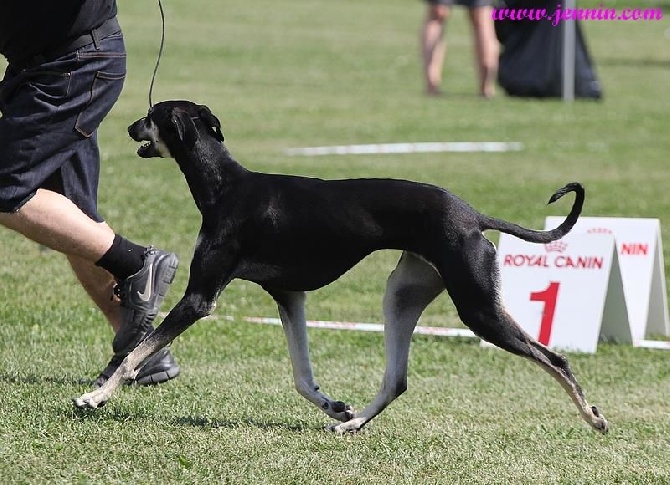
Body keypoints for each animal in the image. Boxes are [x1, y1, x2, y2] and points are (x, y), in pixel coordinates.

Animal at [75, 100, 608, 432]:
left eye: (151, 116)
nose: (128, 127)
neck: (227, 187)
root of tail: (473, 216)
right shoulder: (289, 296)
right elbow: (301, 374)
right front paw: (334, 406)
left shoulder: (200, 298)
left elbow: (136, 354)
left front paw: (94, 398)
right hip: (401, 295)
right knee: (397, 379)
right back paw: (352, 424)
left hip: (478, 309)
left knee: (555, 357)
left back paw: (594, 417)